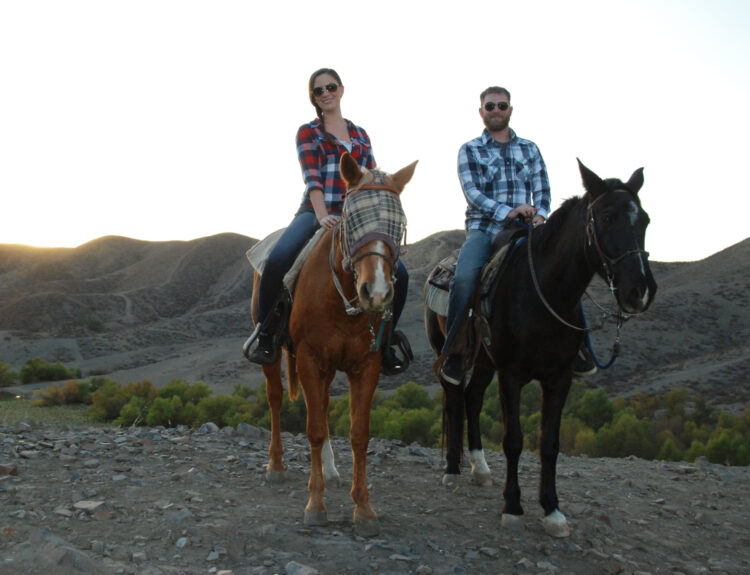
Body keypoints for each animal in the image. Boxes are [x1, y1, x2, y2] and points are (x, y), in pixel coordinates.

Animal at [251, 151, 418, 536]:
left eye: (399, 222)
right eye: (351, 217)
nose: (377, 292)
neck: (341, 301)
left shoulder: (366, 366)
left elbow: (358, 433)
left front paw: (364, 509)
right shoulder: (309, 360)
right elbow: (312, 429)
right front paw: (315, 505)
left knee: (324, 406)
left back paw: (330, 470)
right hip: (275, 356)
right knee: (276, 399)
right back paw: (276, 467)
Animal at [426, 159, 660, 536]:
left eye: (646, 220)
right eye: (607, 217)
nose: (640, 290)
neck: (544, 293)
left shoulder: (559, 378)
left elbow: (549, 444)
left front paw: (552, 511)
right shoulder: (511, 375)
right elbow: (513, 440)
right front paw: (512, 506)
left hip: (484, 361)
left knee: (472, 398)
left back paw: (479, 468)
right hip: (448, 354)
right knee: (454, 400)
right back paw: (452, 471)